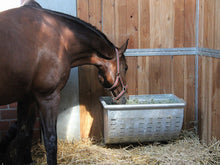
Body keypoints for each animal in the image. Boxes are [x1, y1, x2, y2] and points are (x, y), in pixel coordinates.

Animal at [0, 0, 128, 164]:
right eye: (125, 68)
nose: (124, 99)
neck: (60, 38)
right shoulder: (48, 97)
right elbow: (51, 141)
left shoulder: (26, 98)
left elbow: (23, 134)